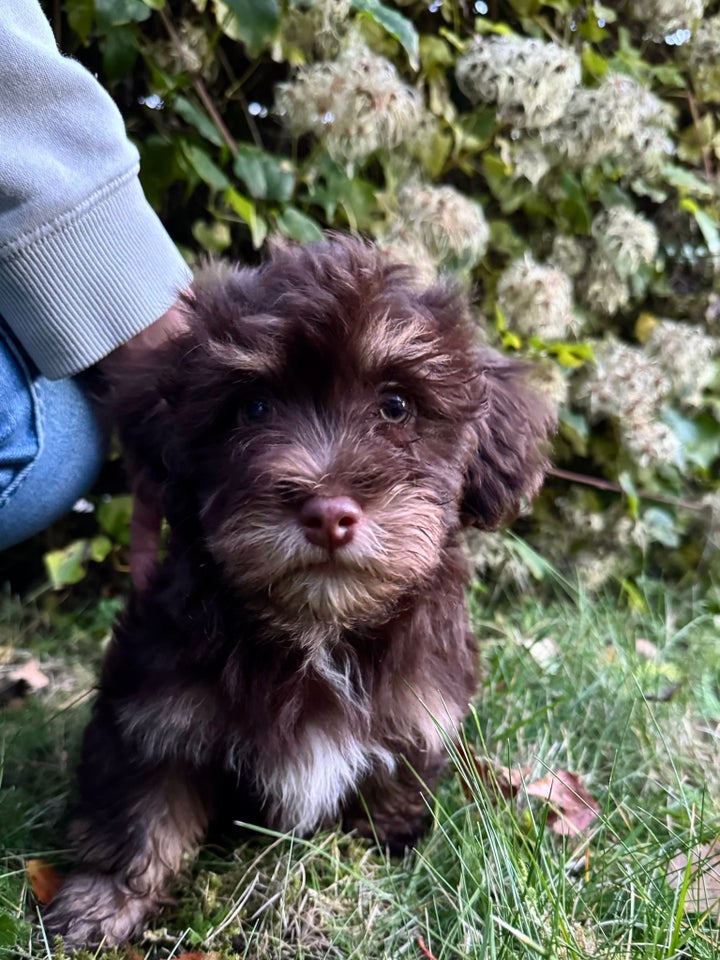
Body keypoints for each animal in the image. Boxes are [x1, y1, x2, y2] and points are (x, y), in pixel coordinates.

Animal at [42, 238, 556, 944]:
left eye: (396, 405)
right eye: (254, 407)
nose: (328, 513)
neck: (318, 629)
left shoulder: (419, 707)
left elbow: (393, 782)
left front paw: (387, 844)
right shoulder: (153, 708)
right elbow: (139, 809)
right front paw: (99, 904)